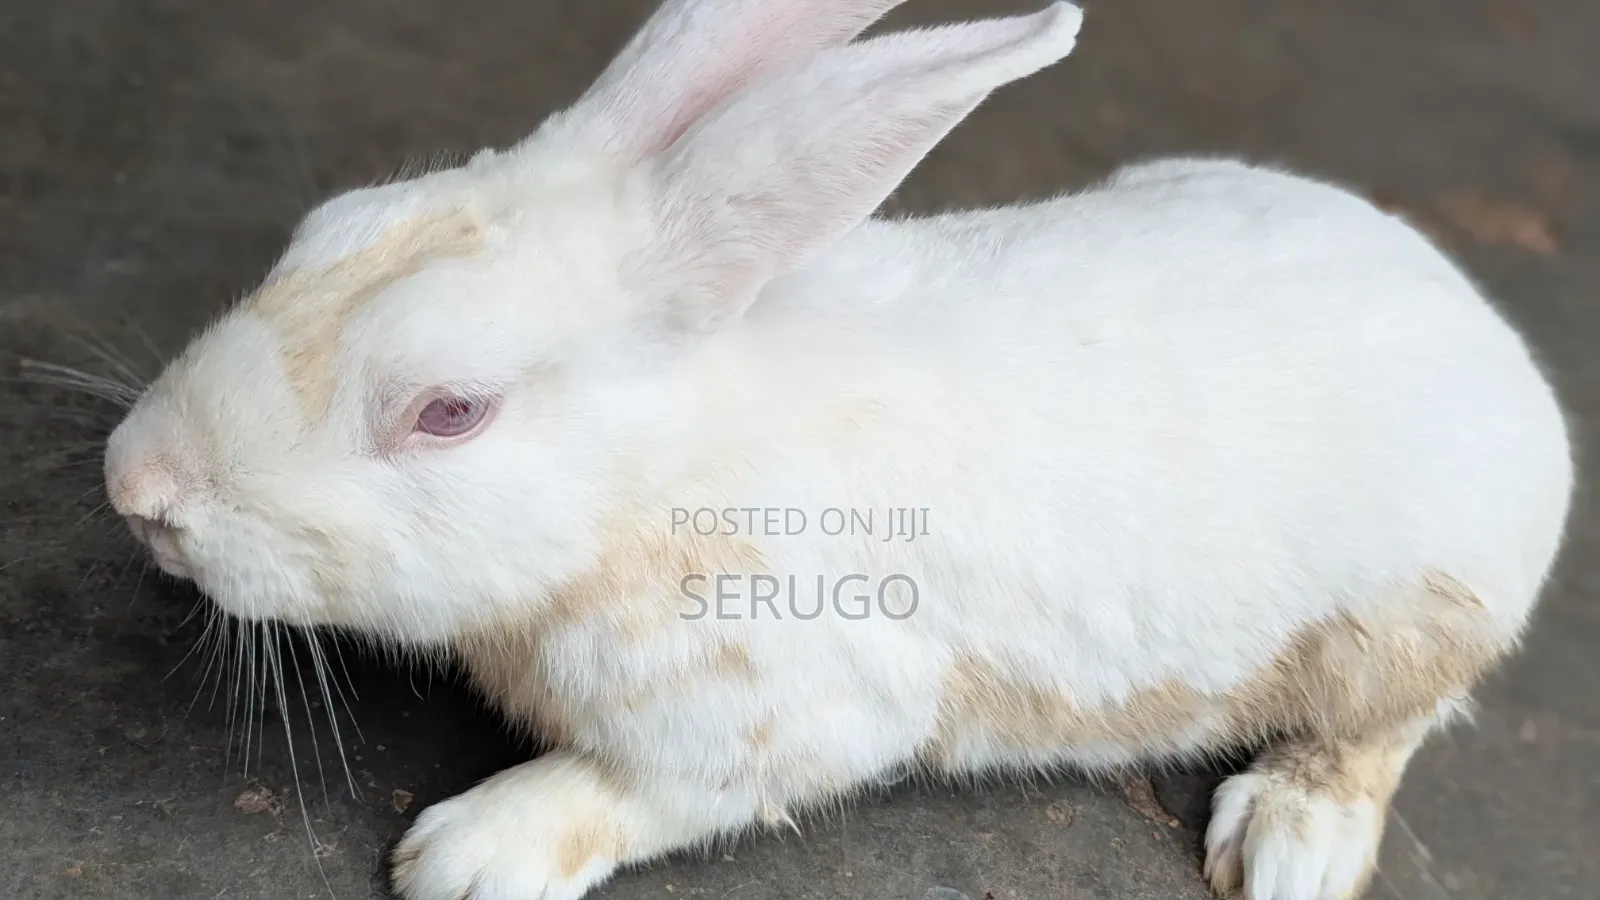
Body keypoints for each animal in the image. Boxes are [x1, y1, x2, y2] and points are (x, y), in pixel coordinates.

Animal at [101, 0, 1574, 898]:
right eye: (323, 228)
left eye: (450, 411)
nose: (137, 484)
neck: (651, 489)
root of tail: (1489, 340)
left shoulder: (784, 714)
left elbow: (625, 795)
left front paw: (464, 855)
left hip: (1411, 622)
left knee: (1383, 730)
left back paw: (1288, 843)